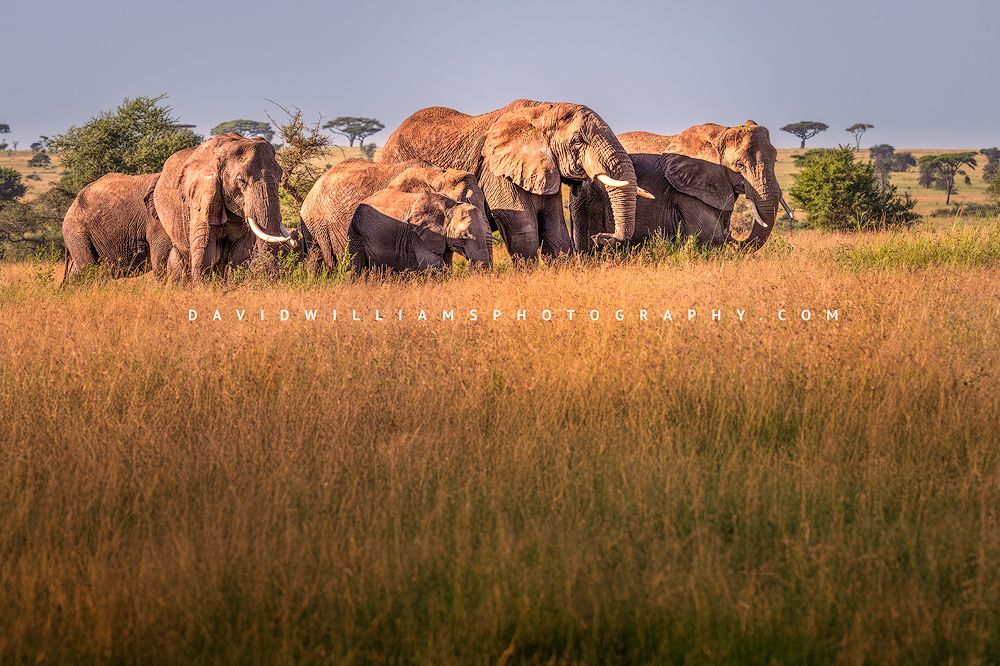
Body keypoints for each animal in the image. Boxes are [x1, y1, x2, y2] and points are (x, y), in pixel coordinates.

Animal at [153, 133, 298, 282]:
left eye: (280, 177)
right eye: (240, 181)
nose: (293, 240)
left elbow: (241, 252)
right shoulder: (201, 196)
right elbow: (204, 249)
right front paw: (200, 286)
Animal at [347, 189, 492, 273]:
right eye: (463, 236)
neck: (450, 205)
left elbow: (446, 263)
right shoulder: (417, 234)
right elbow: (433, 264)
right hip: (356, 232)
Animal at [378, 99, 652, 261]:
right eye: (578, 141)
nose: (601, 239)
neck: (542, 110)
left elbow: (556, 230)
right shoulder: (495, 171)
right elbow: (524, 230)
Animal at [618, 121, 792, 250]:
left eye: (775, 160)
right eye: (740, 165)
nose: (730, 233)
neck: (721, 134)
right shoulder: (687, 191)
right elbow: (711, 234)